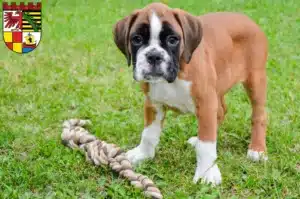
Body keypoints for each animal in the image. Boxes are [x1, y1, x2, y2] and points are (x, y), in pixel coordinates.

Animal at [113, 2, 268, 185]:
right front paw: (143, 154)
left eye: (173, 40)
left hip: (255, 80)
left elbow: (206, 143)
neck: (177, 73)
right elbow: (149, 134)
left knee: (258, 115)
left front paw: (206, 173)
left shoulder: (206, 103)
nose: (154, 56)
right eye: (136, 39)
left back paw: (257, 149)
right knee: (222, 111)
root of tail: (247, 19)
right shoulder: (153, 103)